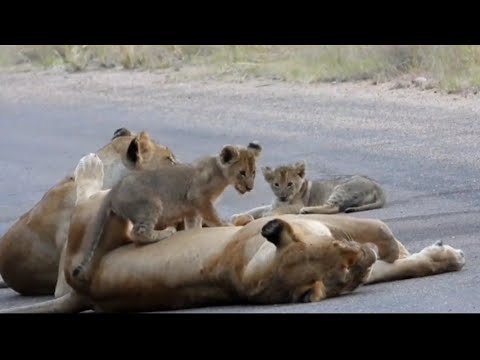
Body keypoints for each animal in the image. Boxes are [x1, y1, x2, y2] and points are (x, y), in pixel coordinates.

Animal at [231, 160, 384, 225]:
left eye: (290, 184)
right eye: (276, 184)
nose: (282, 196)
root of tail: (378, 186)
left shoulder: (296, 205)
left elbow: (282, 210)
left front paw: (268, 215)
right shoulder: (272, 204)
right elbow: (255, 209)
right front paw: (237, 215)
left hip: (341, 188)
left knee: (333, 207)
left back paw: (307, 210)